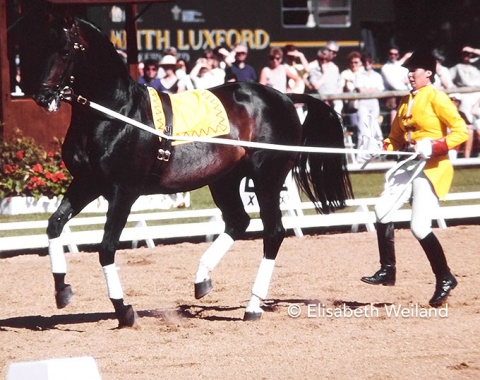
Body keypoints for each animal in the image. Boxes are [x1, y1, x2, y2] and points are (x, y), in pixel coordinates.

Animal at [31, 16, 350, 326]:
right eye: (38, 47)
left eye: (65, 51)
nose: (42, 97)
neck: (116, 114)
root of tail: (284, 96)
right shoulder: (87, 183)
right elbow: (55, 224)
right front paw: (62, 289)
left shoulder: (123, 192)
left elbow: (107, 247)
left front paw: (124, 310)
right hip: (224, 180)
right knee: (239, 221)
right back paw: (202, 279)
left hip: (267, 178)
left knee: (273, 233)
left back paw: (252, 306)